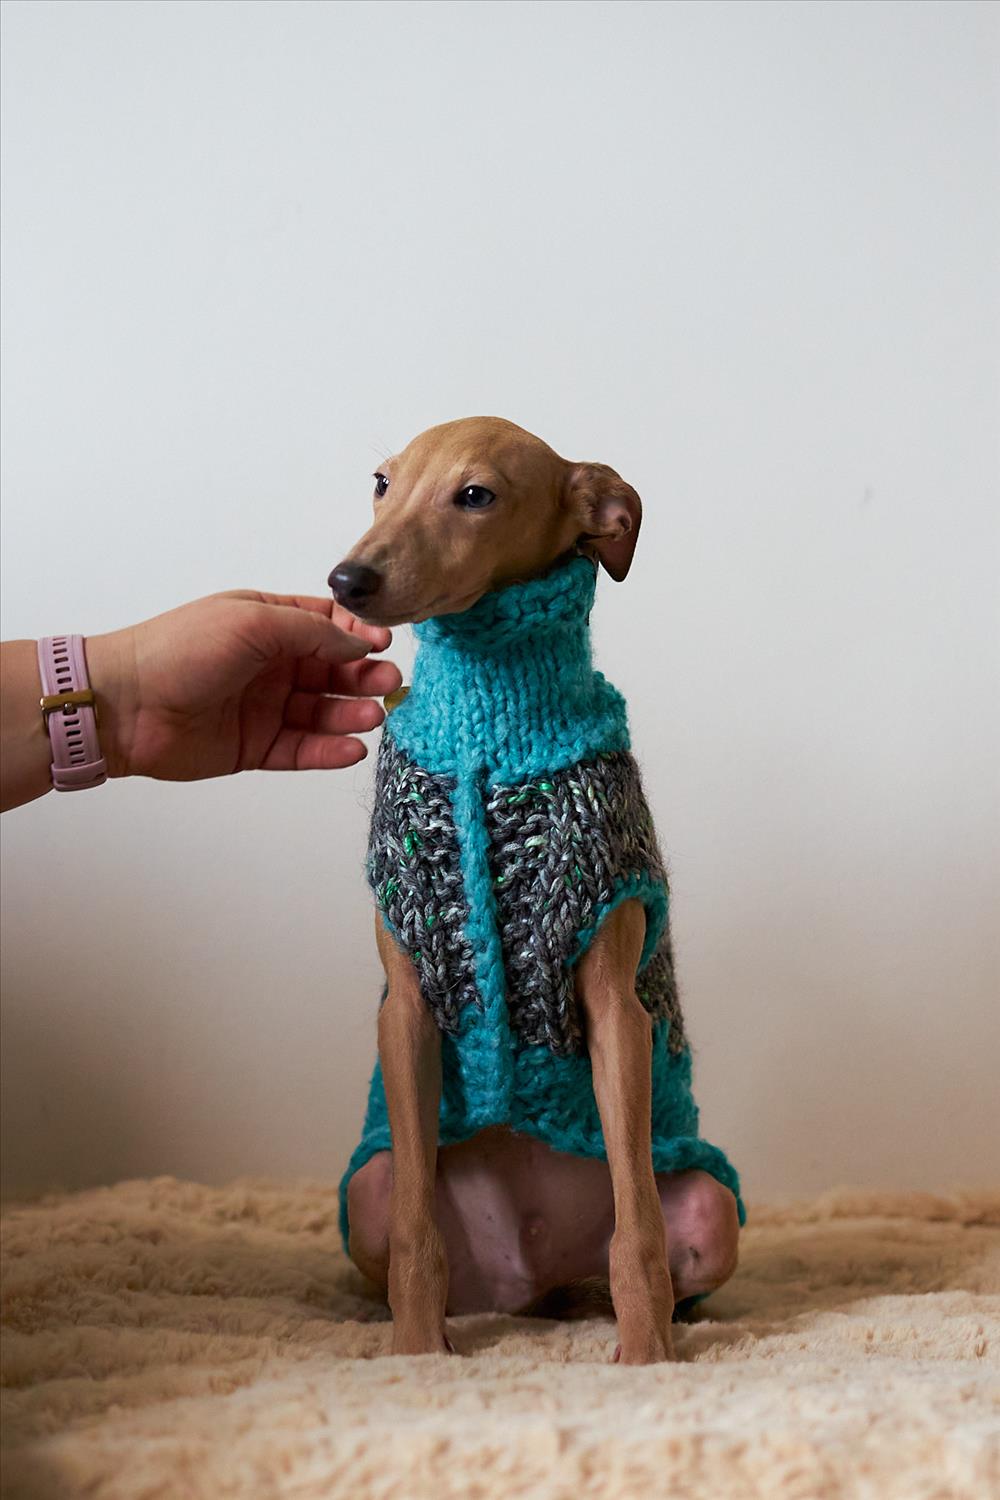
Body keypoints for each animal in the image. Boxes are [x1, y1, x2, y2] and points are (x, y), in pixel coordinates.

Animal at [330, 417, 742, 1363]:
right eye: (381, 482)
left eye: (476, 495)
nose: (346, 579)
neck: (489, 729)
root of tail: (532, 1279)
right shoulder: (407, 1007)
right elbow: (416, 1234)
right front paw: (416, 1359)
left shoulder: (615, 1008)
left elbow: (639, 1231)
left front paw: (646, 1363)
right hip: (367, 1196)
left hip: (707, 1206)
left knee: (650, 1231)